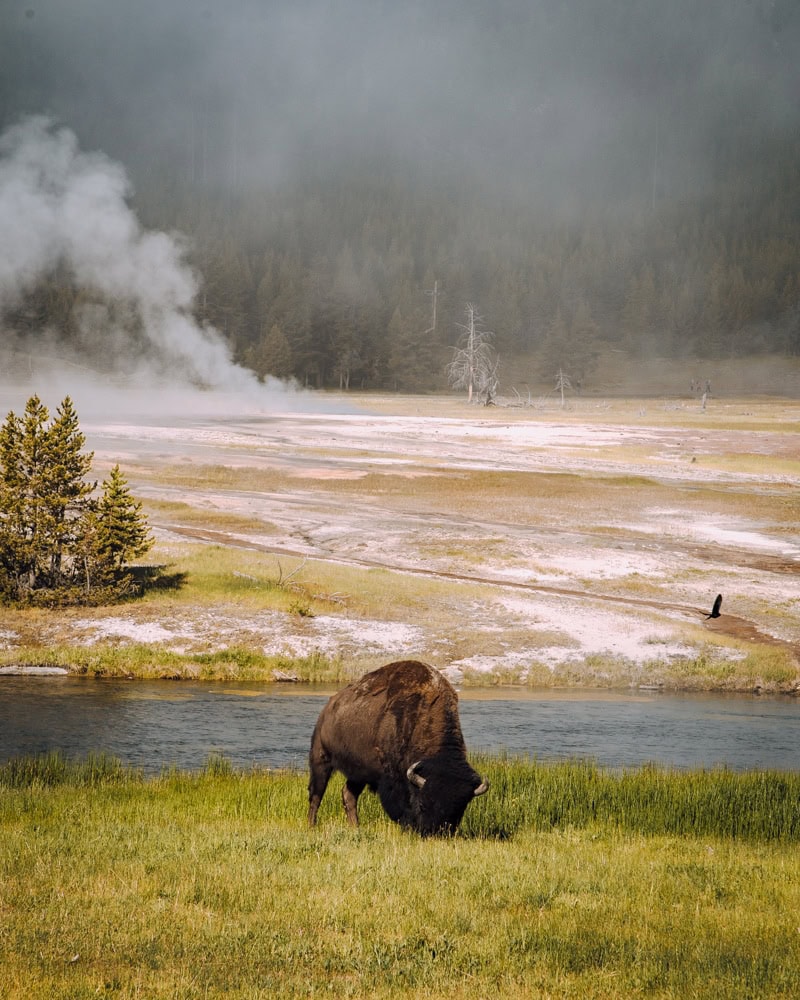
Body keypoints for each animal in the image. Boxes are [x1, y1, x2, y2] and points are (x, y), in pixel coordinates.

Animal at [308, 656, 488, 836]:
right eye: (423, 804)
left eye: (460, 810)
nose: (435, 832)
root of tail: (329, 707)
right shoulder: (392, 778)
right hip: (321, 760)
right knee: (316, 794)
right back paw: (312, 825)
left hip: (358, 773)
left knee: (348, 794)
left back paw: (355, 827)